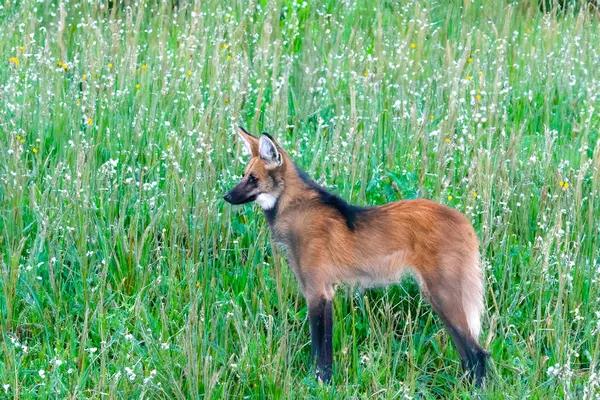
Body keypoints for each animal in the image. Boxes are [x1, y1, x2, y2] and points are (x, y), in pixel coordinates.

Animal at [223, 126, 490, 386]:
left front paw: (319, 384)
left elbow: (320, 348)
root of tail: (464, 220)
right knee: (467, 352)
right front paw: (323, 383)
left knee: (478, 353)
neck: (295, 210)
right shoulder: (324, 290)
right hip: (439, 296)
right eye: (244, 175)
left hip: (441, 294)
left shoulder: (317, 291)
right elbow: (323, 347)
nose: (226, 197)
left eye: (253, 178)